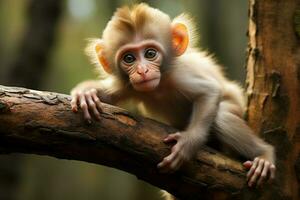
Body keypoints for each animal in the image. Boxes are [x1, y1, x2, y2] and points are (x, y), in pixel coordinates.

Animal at [69, 3, 274, 188]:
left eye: (150, 53)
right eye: (129, 58)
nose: (142, 71)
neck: (159, 87)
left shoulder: (179, 76)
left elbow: (210, 92)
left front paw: (187, 144)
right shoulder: (128, 85)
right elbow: (108, 96)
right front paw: (86, 93)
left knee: (222, 117)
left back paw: (265, 155)